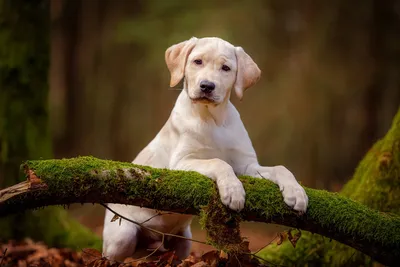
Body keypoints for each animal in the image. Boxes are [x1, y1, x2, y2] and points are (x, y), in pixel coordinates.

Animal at [101, 36, 308, 262]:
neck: (212, 119)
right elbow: (219, 162)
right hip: (122, 236)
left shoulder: (247, 166)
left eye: (226, 68)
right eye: (197, 61)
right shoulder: (180, 164)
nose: (207, 86)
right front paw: (233, 191)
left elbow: (281, 168)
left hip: (183, 243)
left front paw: (296, 192)